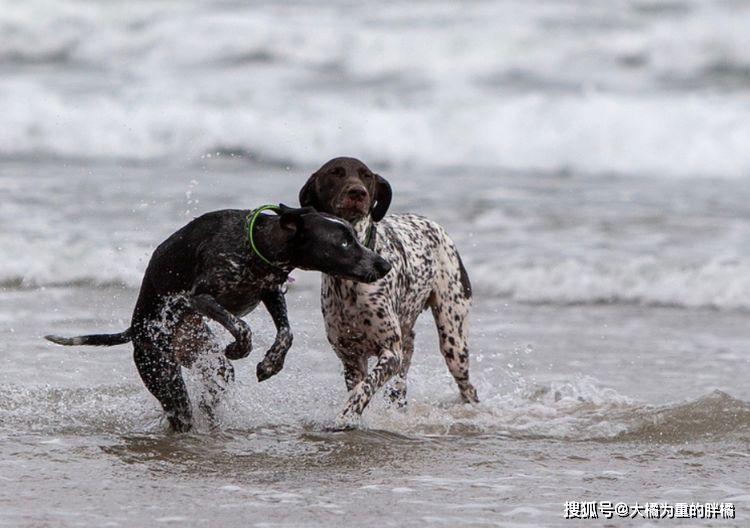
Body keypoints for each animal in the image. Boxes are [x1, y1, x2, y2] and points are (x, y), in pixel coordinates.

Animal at [45, 204, 394, 432]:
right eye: (344, 243)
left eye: (354, 237)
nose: (384, 265)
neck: (259, 243)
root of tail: (135, 329)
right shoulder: (201, 296)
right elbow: (242, 326)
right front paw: (242, 347)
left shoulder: (271, 291)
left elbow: (286, 333)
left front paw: (271, 363)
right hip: (163, 373)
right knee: (181, 413)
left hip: (208, 361)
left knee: (213, 386)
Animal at [300, 157, 482, 424]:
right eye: (335, 173)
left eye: (366, 176)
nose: (358, 192)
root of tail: (433, 224)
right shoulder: (351, 359)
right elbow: (359, 387)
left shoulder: (389, 353)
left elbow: (365, 388)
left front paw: (346, 417)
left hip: (454, 343)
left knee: (467, 387)